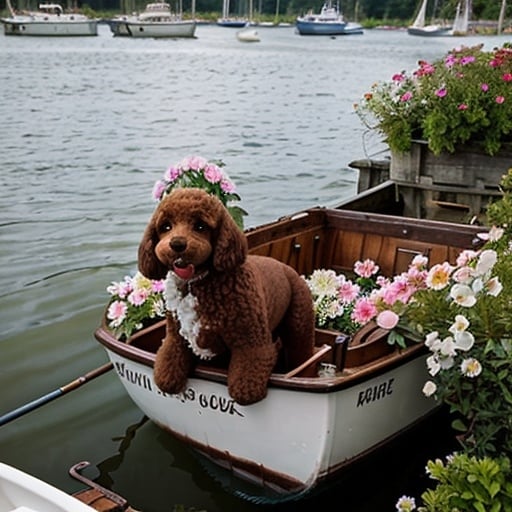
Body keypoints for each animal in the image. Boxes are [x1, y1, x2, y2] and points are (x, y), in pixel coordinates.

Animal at [140, 187, 316, 404]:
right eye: (165, 226)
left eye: (200, 226)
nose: (177, 243)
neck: (195, 284)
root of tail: (287, 267)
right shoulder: (176, 336)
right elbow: (169, 364)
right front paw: (167, 379)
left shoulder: (250, 342)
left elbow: (245, 380)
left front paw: (246, 391)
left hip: (298, 320)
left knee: (301, 351)